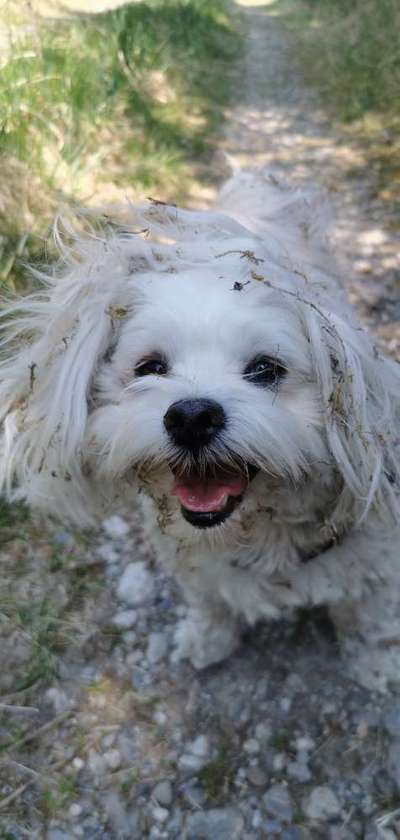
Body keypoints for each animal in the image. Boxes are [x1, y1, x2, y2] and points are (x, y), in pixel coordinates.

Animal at [0, 169, 400, 688]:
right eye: (150, 367)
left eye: (266, 369)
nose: (191, 417)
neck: (257, 534)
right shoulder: (196, 566)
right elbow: (211, 604)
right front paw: (206, 640)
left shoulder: (377, 565)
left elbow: (369, 621)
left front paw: (375, 664)